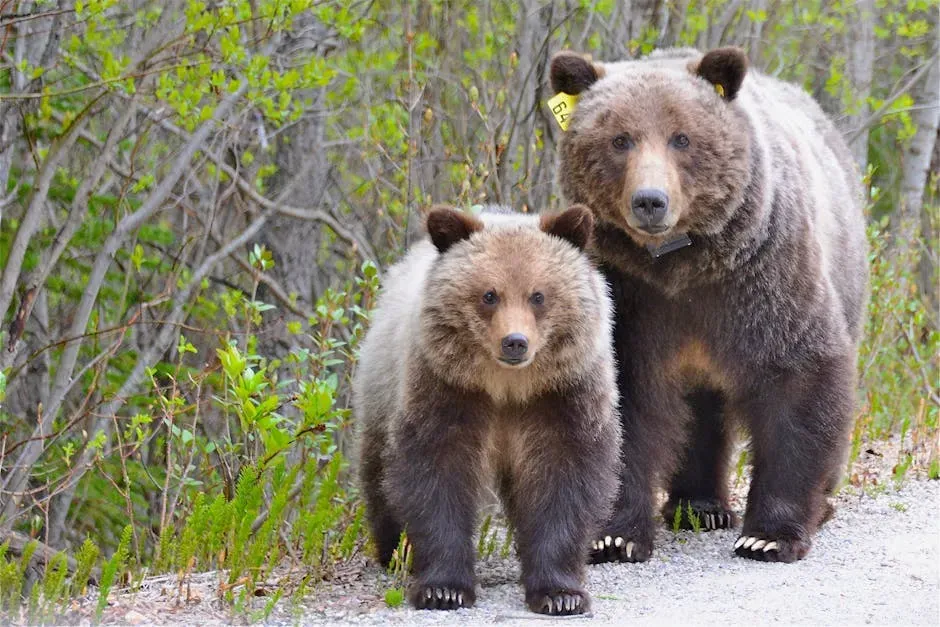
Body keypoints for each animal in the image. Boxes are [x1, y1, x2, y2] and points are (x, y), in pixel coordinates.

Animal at [354, 204, 621, 614]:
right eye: (489, 295)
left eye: (538, 295)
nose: (515, 342)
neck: (507, 387)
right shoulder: (448, 389)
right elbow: (437, 472)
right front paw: (443, 589)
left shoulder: (561, 395)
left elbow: (563, 477)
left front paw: (560, 594)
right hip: (382, 388)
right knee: (379, 473)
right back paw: (393, 550)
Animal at [548, 46, 868, 564]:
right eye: (620, 139)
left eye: (682, 138)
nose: (650, 201)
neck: (683, 265)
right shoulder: (631, 295)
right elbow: (624, 398)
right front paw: (613, 536)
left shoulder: (764, 276)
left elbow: (800, 377)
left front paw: (768, 535)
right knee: (700, 410)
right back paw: (698, 506)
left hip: (845, 270)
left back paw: (817, 506)